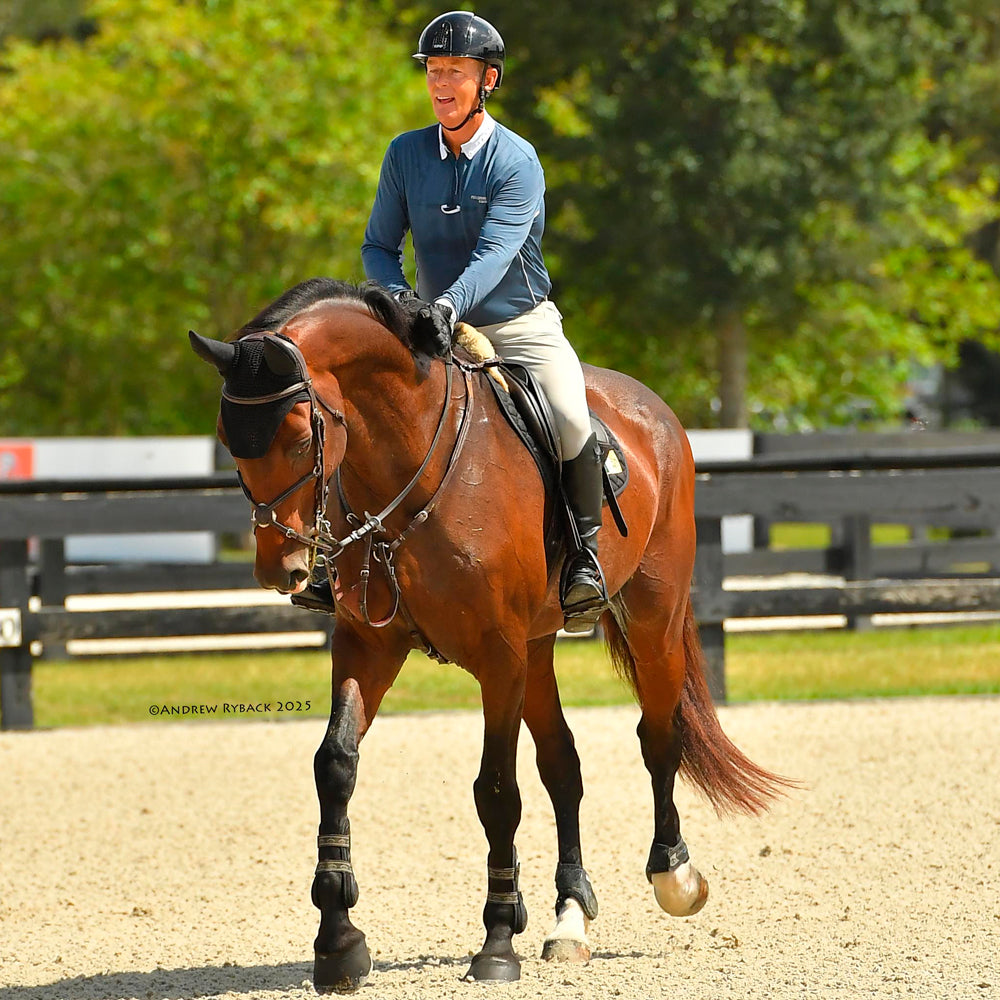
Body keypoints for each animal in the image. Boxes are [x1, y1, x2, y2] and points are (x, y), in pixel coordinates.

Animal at [189, 278, 792, 994]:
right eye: (228, 436)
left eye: (300, 430)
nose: (279, 568)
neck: (411, 474)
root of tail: (652, 408)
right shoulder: (369, 645)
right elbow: (335, 764)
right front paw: (338, 941)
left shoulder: (498, 657)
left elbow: (497, 791)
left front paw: (498, 940)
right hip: (538, 649)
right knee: (563, 765)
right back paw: (569, 919)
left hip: (652, 619)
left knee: (659, 737)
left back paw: (674, 874)